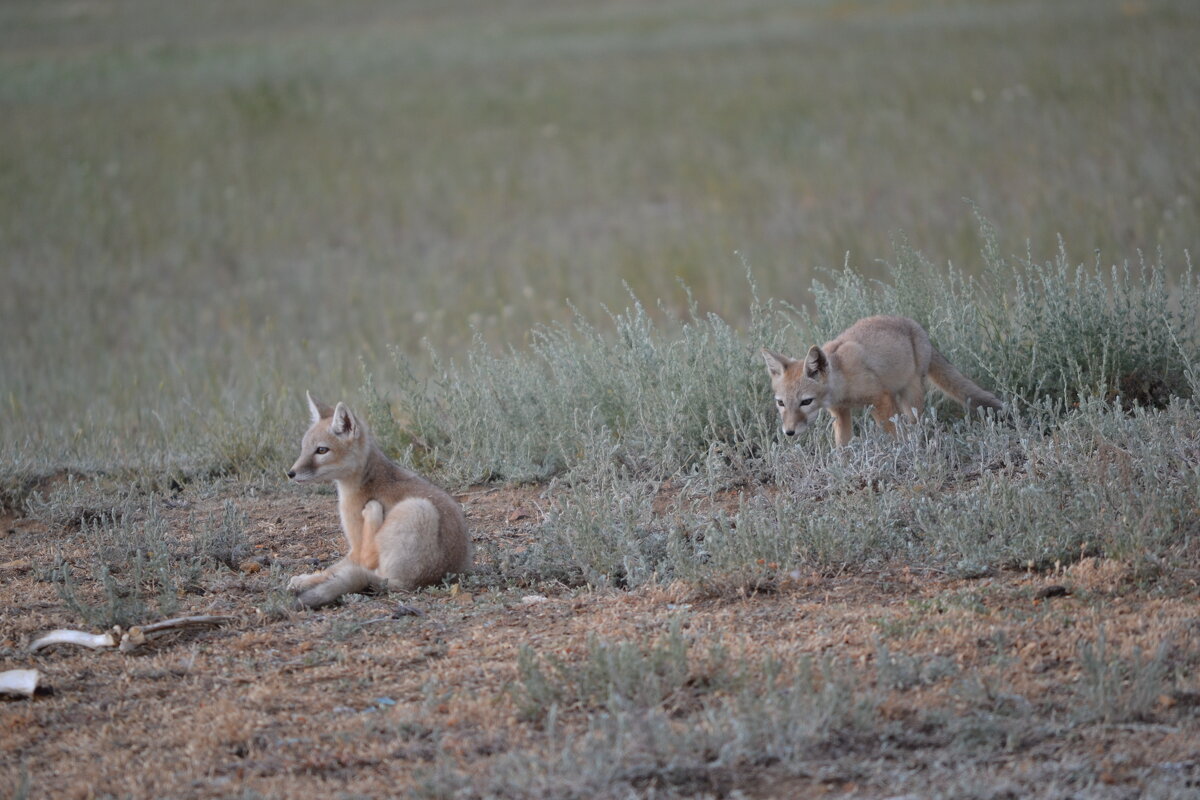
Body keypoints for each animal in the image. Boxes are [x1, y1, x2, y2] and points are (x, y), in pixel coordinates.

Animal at [284, 393, 468, 606]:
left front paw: (304, 580)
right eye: (303, 448)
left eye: (321, 450)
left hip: (419, 508)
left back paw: (372, 511)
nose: (290, 473)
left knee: (368, 559)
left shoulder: (355, 548)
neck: (365, 479)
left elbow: (331, 570)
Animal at [763, 316, 1008, 448]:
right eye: (781, 403)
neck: (842, 381)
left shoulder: (880, 399)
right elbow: (843, 444)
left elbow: (893, 432)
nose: (789, 432)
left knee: (915, 424)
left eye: (806, 402)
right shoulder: (840, 412)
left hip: (909, 395)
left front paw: (900, 451)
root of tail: (916, 327)